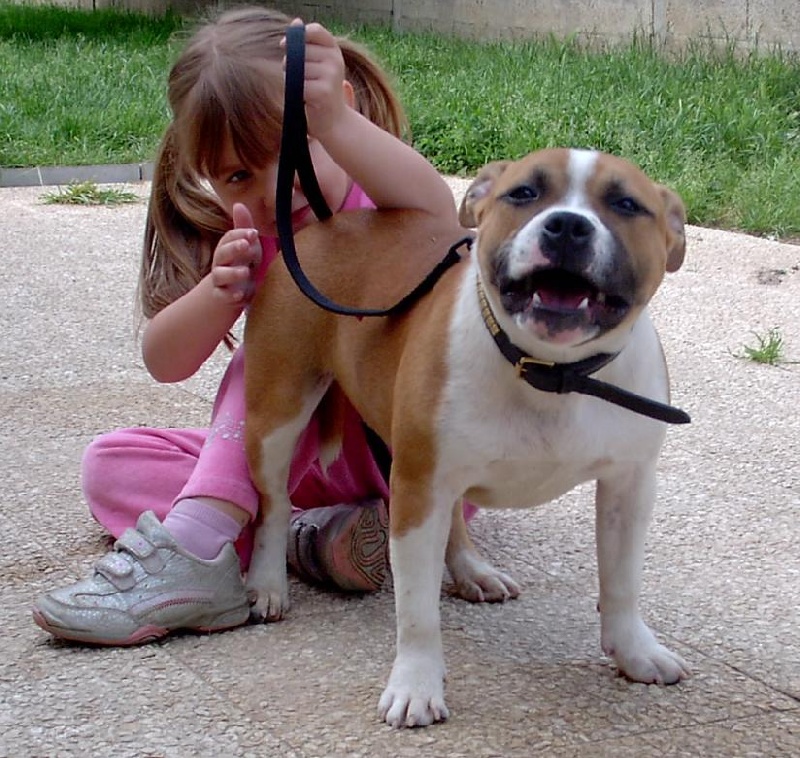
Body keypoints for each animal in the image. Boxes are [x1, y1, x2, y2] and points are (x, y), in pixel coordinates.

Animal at [247, 150, 692, 732]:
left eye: (625, 204)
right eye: (524, 193)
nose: (567, 226)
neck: (551, 373)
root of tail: (327, 223)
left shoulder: (629, 486)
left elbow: (622, 582)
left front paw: (634, 651)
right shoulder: (417, 487)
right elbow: (416, 610)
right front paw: (415, 684)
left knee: (454, 515)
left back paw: (471, 570)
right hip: (278, 413)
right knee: (275, 504)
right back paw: (267, 583)